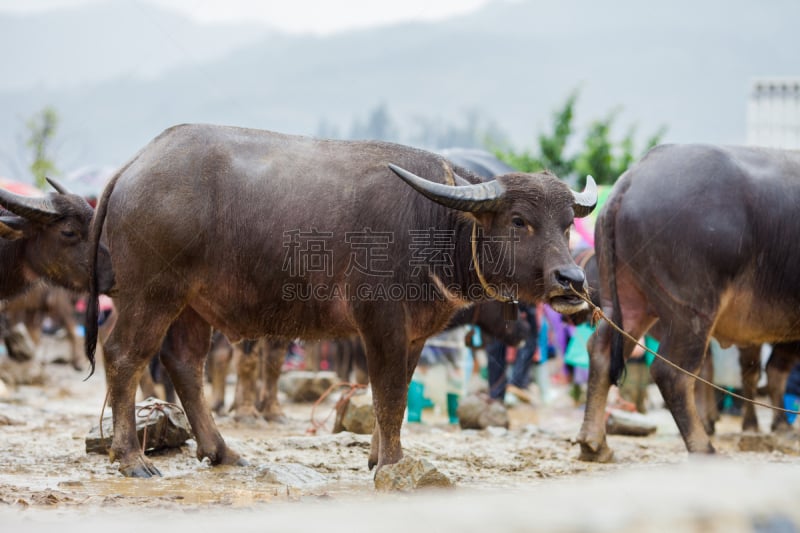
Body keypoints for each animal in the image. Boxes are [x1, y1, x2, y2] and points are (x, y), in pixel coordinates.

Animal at [84, 122, 592, 476]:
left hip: (192, 304)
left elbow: (396, 393)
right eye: (519, 221)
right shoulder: (380, 323)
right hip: (151, 293)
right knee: (124, 355)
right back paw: (132, 458)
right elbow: (388, 394)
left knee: (184, 362)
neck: (434, 221)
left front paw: (378, 456)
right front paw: (391, 463)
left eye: (568, 223)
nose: (572, 280)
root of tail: (132, 167)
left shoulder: (413, 335)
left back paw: (222, 451)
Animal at [580, 143, 800, 460]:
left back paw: (594, 444)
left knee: (602, 348)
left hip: (627, 302)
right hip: (692, 309)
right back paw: (704, 447)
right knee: (673, 372)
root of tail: (631, 178)